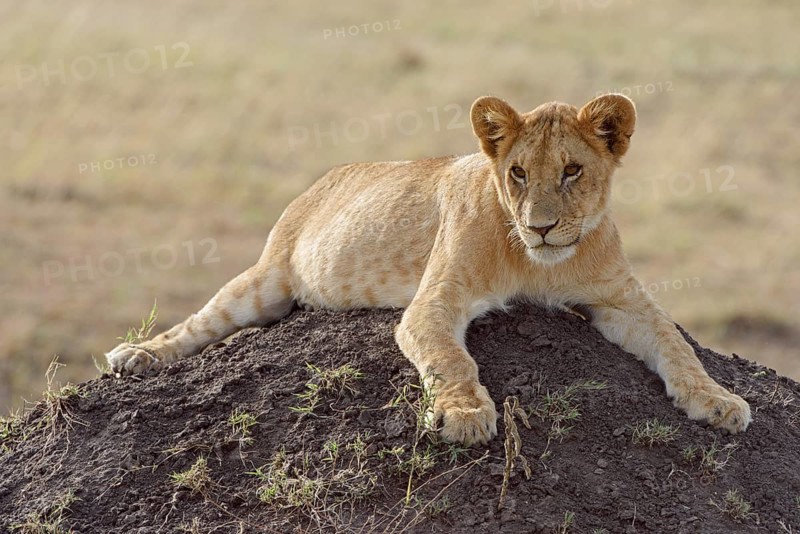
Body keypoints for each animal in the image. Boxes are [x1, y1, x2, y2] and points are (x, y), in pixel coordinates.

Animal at [106, 94, 751, 445]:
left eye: (572, 171)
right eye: (518, 173)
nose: (541, 227)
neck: (540, 264)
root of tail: (323, 177)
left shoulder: (621, 298)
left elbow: (676, 345)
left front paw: (718, 401)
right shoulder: (435, 299)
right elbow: (449, 359)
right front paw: (464, 415)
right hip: (265, 281)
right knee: (199, 323)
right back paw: (137, 356)